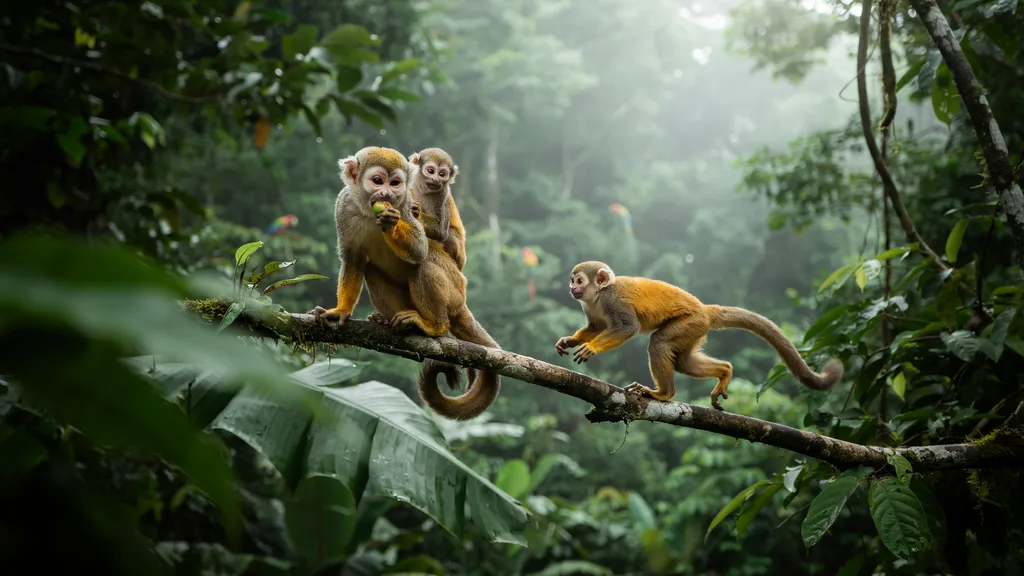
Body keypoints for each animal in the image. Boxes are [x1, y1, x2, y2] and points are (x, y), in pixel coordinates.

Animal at [553, 261, 843, 411]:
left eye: (579, 280)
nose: (571, 288)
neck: (599, 296)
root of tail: (704, 309)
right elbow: (595, 327)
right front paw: (572, 340)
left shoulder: (614, 302)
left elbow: (628, 327)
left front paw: (592, 348)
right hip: (695, 330)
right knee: (684, 362)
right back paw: (725, 371)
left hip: (690, 323)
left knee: (659, 343)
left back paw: (663, 394)